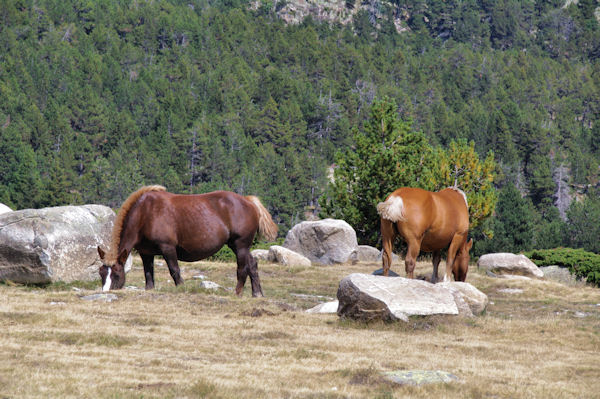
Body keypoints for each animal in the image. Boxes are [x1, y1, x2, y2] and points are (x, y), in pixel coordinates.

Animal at [97, 187, 278, 296]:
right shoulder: (146, 253)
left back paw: (237, 292)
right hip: (238, 246)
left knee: (242, 268)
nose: (105, 291)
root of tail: (248, 201)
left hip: (240, 245)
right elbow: (148, 274)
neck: (145, 213)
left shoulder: (168, 248)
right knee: (252, 264)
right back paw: (257, 293)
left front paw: (181, 288)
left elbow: (174, 270)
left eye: (116, 273)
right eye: (101, 272)